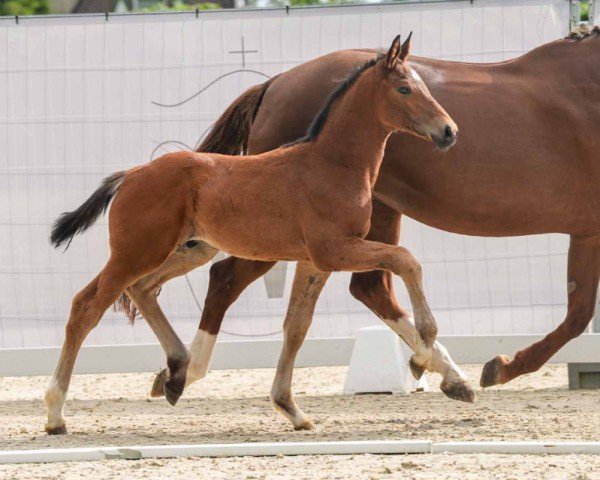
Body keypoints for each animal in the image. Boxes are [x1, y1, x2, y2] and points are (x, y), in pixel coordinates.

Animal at [47, 36, 458, 436]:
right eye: (405, 88)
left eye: (422, 85)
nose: (449, 131)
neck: (332, 164)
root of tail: (130, 175)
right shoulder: (334, 250)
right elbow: (406, 259)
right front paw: (422, 353)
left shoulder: (314, 262)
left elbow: (297, 326)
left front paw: (292, 409)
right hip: (137, 252)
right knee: (86, 306)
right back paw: (55, 414)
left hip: (186, 250)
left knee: (141, 289)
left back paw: (177, 371)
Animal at [143, 31, 596, 416]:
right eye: (404, 89)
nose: (450, 132)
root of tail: (274, 83)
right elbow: (577, 317)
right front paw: (500, 366)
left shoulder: (586, 230)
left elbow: (578, 312)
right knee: (224, 278)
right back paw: (182, 373)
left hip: (364, 217)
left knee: (369, 287)